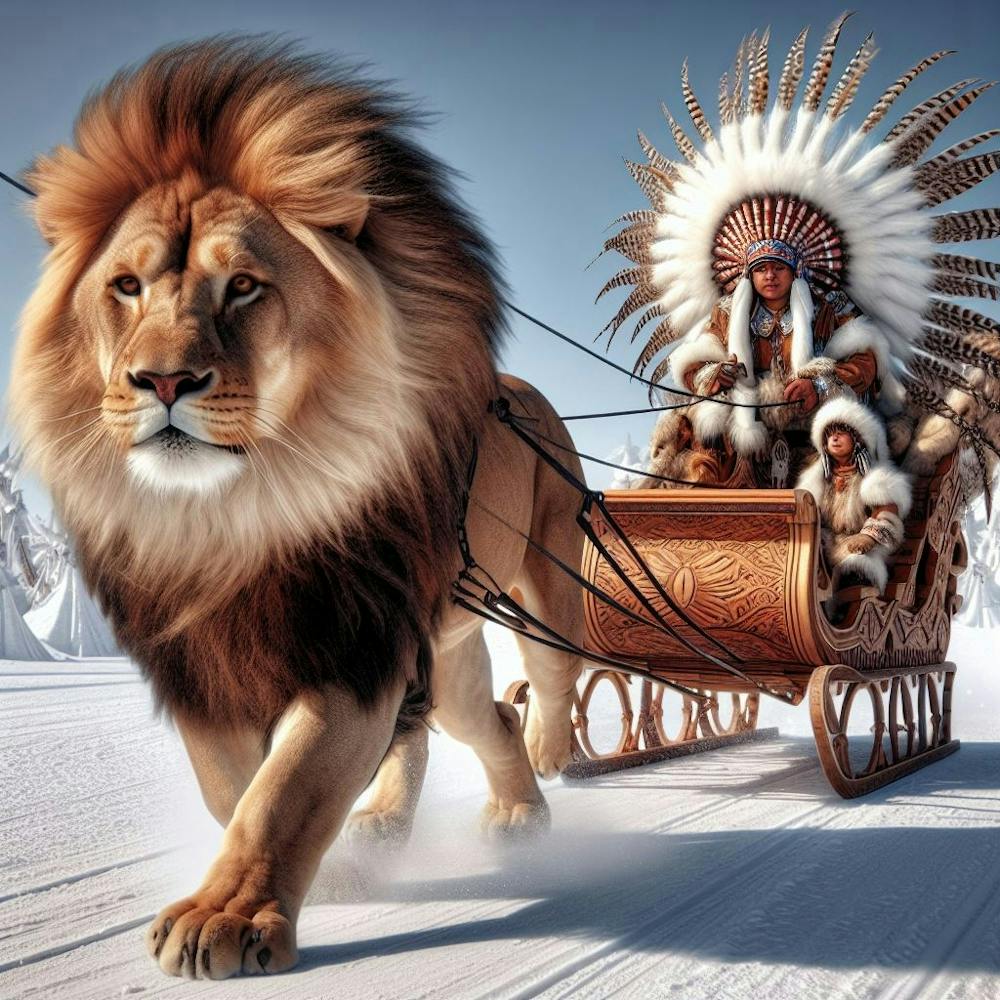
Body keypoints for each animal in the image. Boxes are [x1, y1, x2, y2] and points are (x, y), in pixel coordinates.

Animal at [10, 39, 585, 980]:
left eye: (244, 286)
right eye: (126, 286)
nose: (162, 381)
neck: (238, 513)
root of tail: (529, 392)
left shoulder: (353, 639)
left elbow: (289, 785)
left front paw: (227, 918)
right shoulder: (207, 659)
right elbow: (231, 784)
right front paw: (336, 866)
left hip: (547, 592)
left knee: (546, 687)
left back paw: (542, 784)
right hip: (448, 649)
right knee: (474, 715)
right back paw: (418, 822)